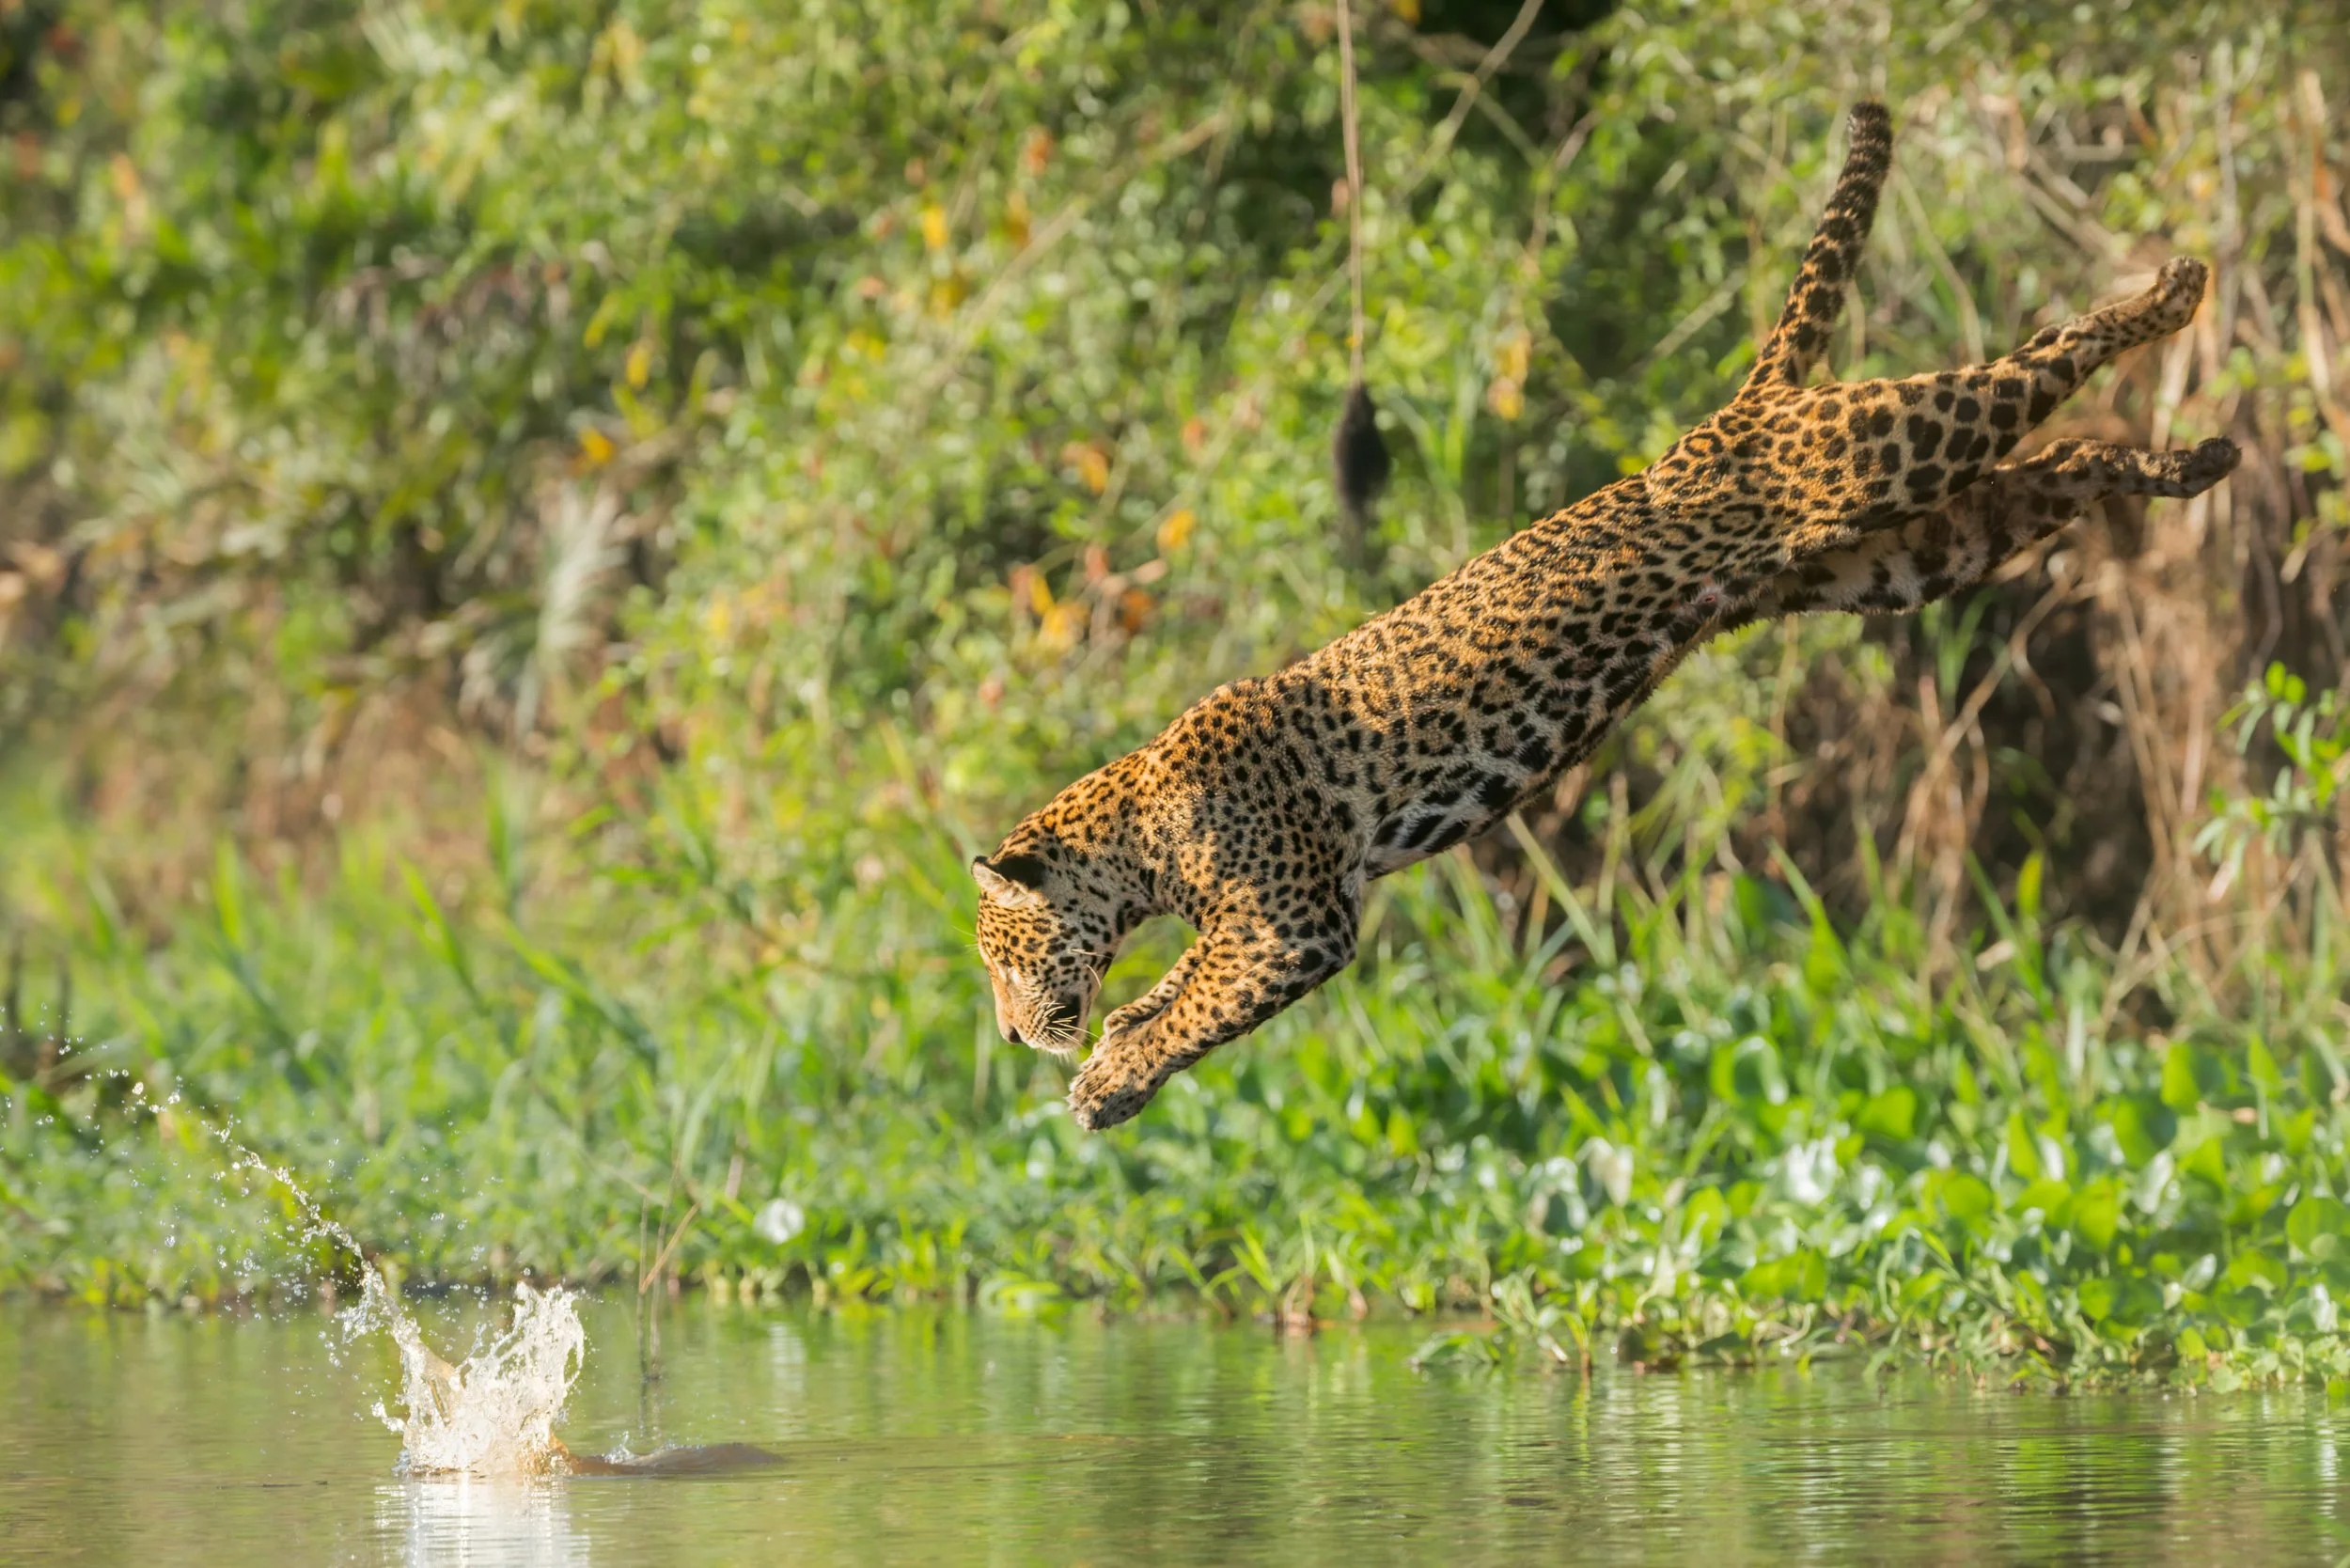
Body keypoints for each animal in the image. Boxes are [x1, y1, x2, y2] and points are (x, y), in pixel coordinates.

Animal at [972, 101, 2240, 1131]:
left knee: (2024, 365)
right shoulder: (1269, 917)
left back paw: (2170, 290)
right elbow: (1169, 996)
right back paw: (2187, 459)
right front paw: (1113, 1056)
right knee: (2054, 466)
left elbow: (1197, 1005)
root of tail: (1735, 411)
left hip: (1871, 452)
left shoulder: (1291, 918)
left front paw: (1105, 1082)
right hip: (1889, 556)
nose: (1006, 1035)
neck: (1137, 830)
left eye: (1002, 955)